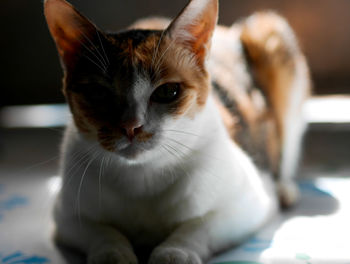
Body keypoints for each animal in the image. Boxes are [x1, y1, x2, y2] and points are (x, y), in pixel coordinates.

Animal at [43, 0, 308, 262]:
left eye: (167, 91)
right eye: (98, 93)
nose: (131, 126)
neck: (141, 177)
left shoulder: (248, 204)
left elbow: (198, 225)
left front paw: (173, 252)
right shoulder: (65, 216)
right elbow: (103, 232)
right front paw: (113, 254)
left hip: (271, 34)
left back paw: (286, 190)